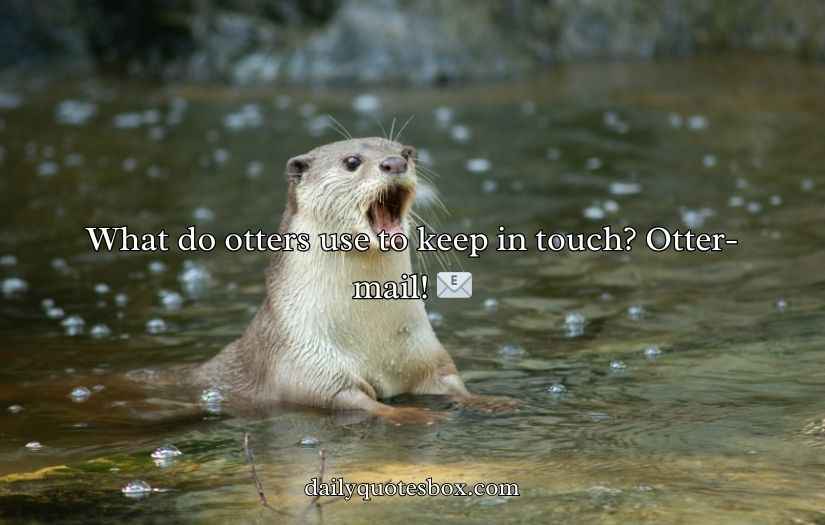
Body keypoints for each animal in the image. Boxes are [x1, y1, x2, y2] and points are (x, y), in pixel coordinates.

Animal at [192, 138, 516, 424]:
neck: (371, 335)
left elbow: (451, 382)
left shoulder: (426, 353)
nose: (395, 163)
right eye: (351, 162)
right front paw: (413, 414)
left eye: (406, 152)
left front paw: (492, 401)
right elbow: (357, 401)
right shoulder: (308, 365)